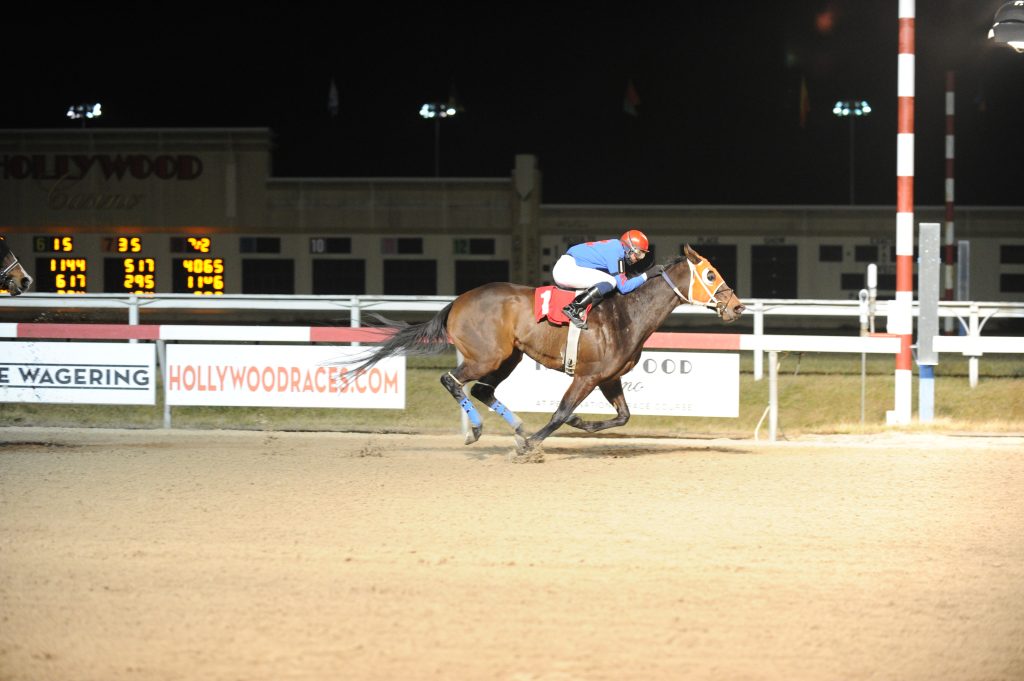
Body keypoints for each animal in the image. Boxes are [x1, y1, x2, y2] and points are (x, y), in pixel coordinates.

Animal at [344, 241, 745, 454]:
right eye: (710, 275)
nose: (738, 306)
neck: (627, 313)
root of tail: (457, 302)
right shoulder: (587, 375)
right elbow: (561, 412)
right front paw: (531, 445)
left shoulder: (608, 377)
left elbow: (622, 416)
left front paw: (580, 423)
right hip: (486, 355)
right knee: (452, 380)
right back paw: (479, 429)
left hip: (510, 356)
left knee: (481, 390)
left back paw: (517, 427)